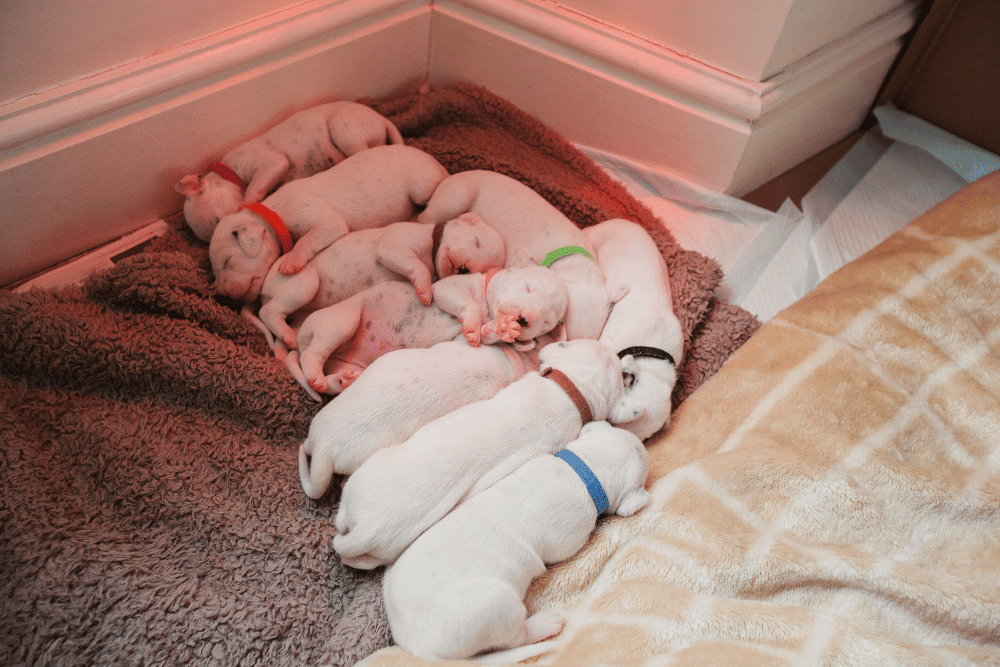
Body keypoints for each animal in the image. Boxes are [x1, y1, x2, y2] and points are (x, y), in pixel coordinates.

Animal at [380, 422, 648, 664]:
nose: (642, 445)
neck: (582, 470)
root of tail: (414, 646)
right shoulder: (572, 535)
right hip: (495, 607)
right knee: (515, 639)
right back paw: (545, 624)